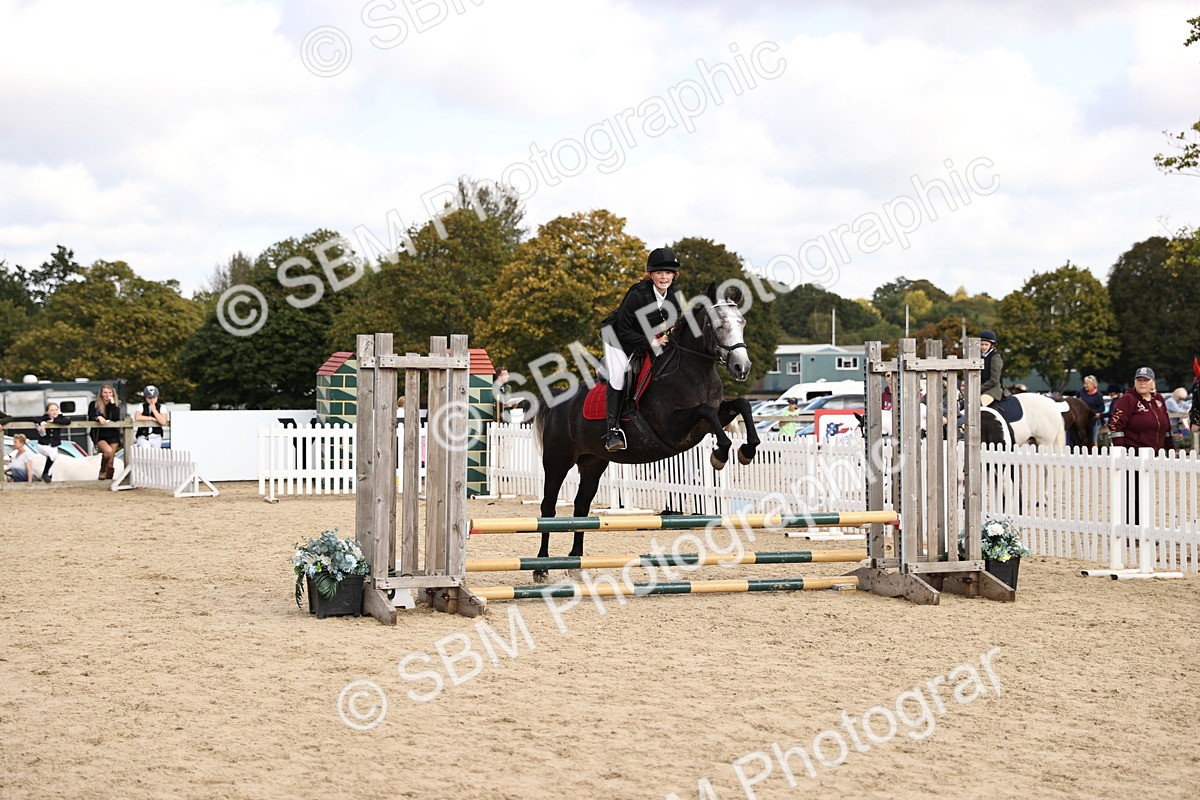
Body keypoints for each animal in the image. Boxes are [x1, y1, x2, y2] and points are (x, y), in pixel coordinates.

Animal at [533, 283, 760, 582]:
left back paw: (575, 561)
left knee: (581, 507)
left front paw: (748, 449)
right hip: (558, 460)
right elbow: (705, 412)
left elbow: (742, 404)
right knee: (548, 508)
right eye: (719, 325)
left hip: (593, 462)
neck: (695, 371)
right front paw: (720, 454)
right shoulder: (673, 428)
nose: (741, 368)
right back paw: (541, 567)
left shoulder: (712, 416)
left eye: (742, 323)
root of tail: (557, 399)